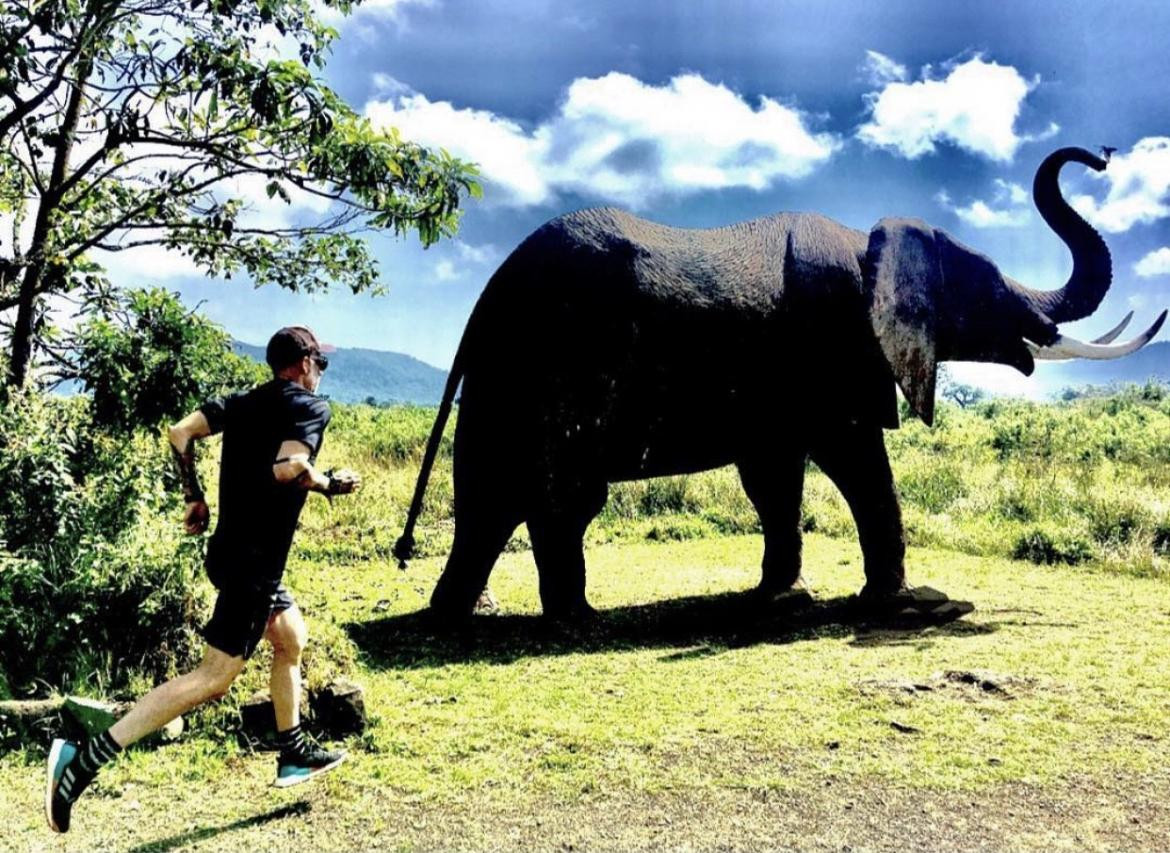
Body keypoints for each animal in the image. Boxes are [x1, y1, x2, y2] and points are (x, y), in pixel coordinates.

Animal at [395, 148, 1160, 617]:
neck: (869, 245)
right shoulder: (834, 347)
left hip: (508, 372)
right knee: (558, 495)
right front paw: (908, 606)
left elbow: (776, 479)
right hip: (549, 363)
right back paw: (576, 620)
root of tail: (487, 295)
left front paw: (783, 599)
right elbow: (857, 463)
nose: (1100, 156)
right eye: (990, 288)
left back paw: (470, 612)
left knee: (493, 495)